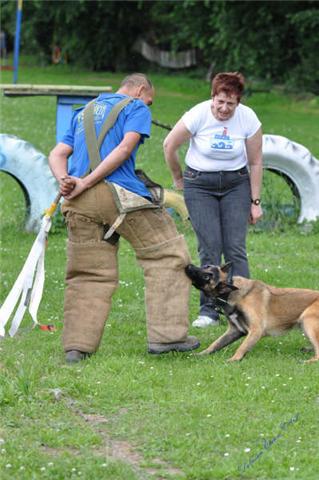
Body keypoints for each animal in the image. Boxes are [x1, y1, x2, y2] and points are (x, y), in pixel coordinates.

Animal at [185, 264, 319, 362]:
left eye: (207, 277)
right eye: (205, 266)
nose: (188, 266)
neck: (230, 293)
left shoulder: (256, 329)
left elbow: (242, 347)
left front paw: (234, 359)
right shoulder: (235, 331)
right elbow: (215, 344)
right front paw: (200, 354)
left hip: (307, 320)